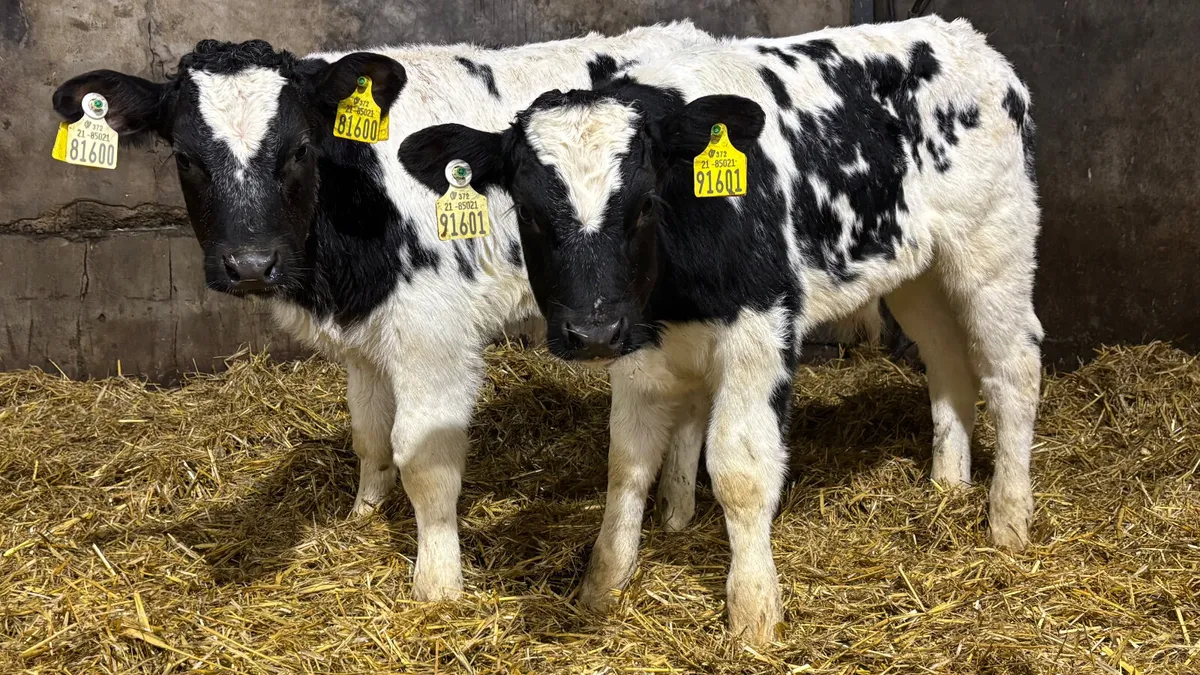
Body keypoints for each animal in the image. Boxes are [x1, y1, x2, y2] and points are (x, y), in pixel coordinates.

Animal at [50, 22, 720, 603]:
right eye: (186, 157)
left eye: (299, 149)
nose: (250, 265)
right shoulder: (366, 339)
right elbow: (369, 435)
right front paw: (362, 514)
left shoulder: (434, 335)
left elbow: (423, 462)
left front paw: (438, 584)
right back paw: (676, 511)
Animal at [399, 16, 1042, 642]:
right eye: (528, 213)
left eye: (645, 203)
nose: (591, 332)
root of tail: (965, 36)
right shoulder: (639, 341)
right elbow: (627, 462)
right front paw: (603, 585)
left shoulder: (762, 327)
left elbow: (740, 467)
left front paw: (753, 610)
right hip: (919, 270)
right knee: (948, 360)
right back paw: (949, 484)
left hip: (995, 248)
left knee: (1014, 366)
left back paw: (1008, 517)